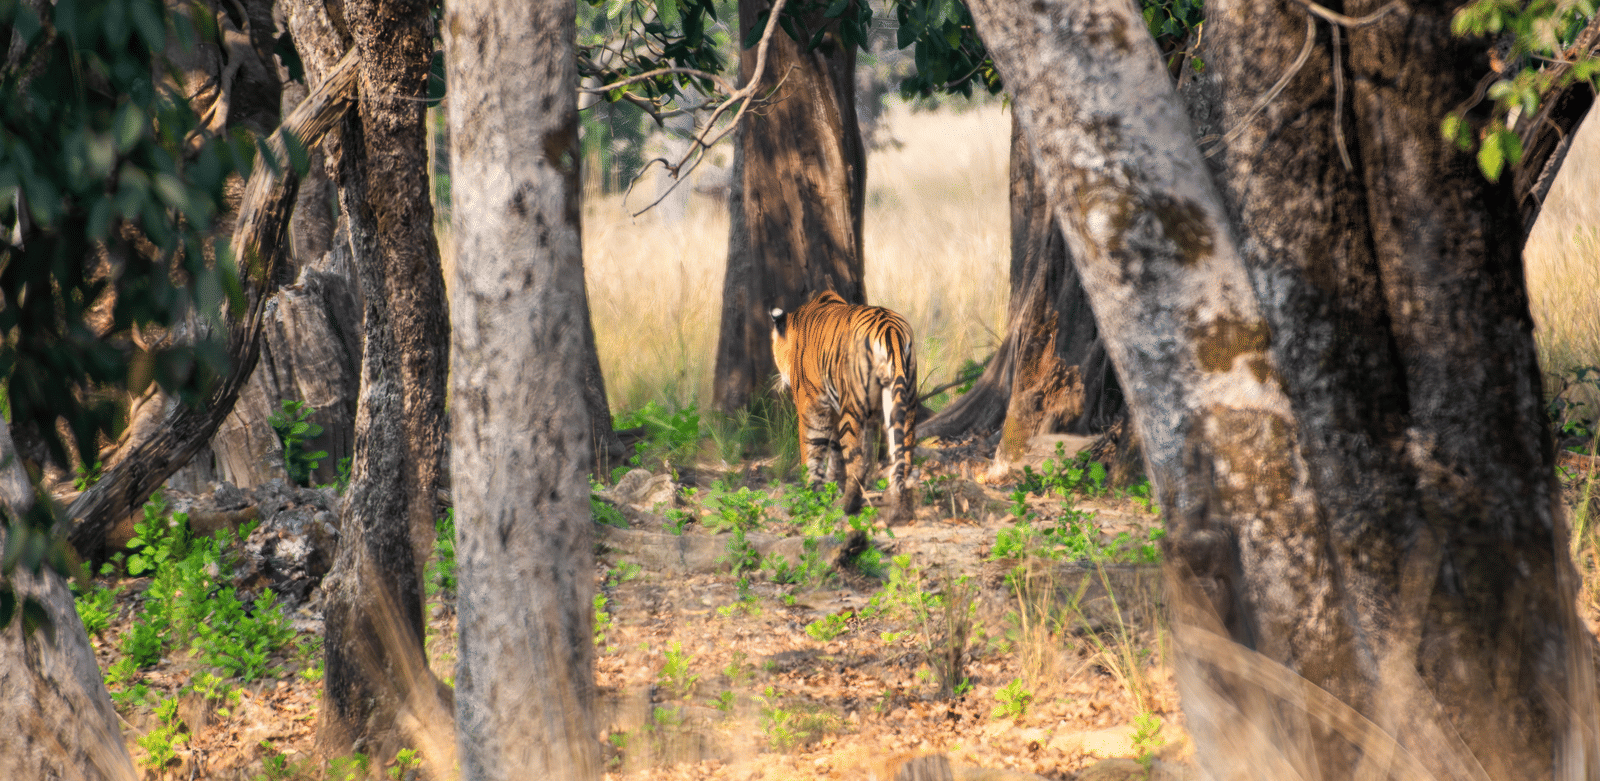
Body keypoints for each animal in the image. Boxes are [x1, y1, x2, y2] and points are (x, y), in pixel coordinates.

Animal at [769, 290, 918, 525]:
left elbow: (811, 450)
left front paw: (811, 494)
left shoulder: (812, 405)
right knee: (902, 458)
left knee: (857, 463)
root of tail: (890, 329)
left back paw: (847, 506)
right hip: (904, 401)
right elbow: (836, 451)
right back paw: (899, 510)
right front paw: (830, 486)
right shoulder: (837, 411)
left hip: (852, 408)